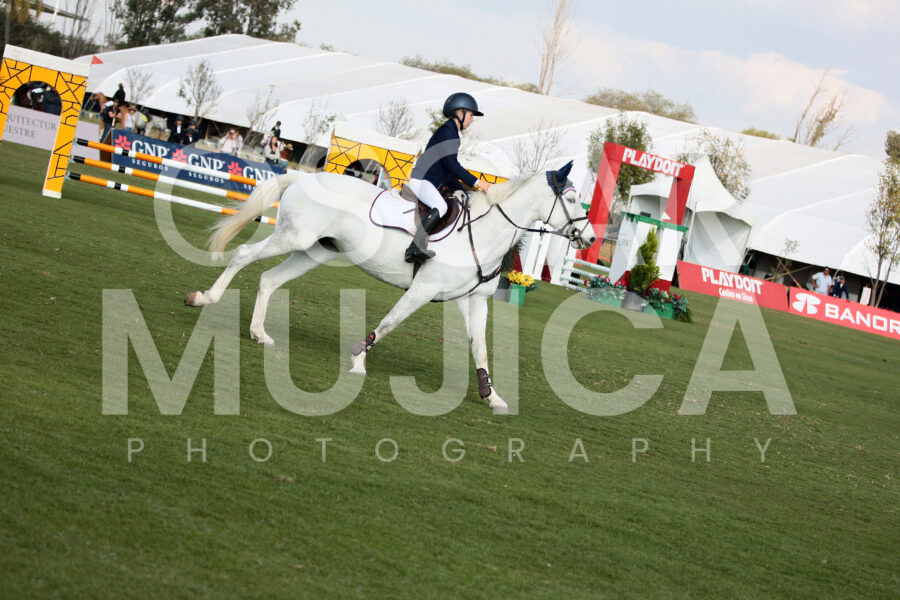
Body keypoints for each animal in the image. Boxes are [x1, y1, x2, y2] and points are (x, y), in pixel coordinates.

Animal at [185, 162, 596, 414]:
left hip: (314, 249)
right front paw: (358, 361)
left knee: (269, 280)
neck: (482, 233)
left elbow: (480, 350)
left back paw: (260, 333)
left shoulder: (474, 301)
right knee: (242, 255)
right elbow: (388, 324)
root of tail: (302, 178)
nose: (590, 238)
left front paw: (491, 396)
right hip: (292, 238)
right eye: (571, 199)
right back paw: (205, 297)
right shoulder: (422, 290)